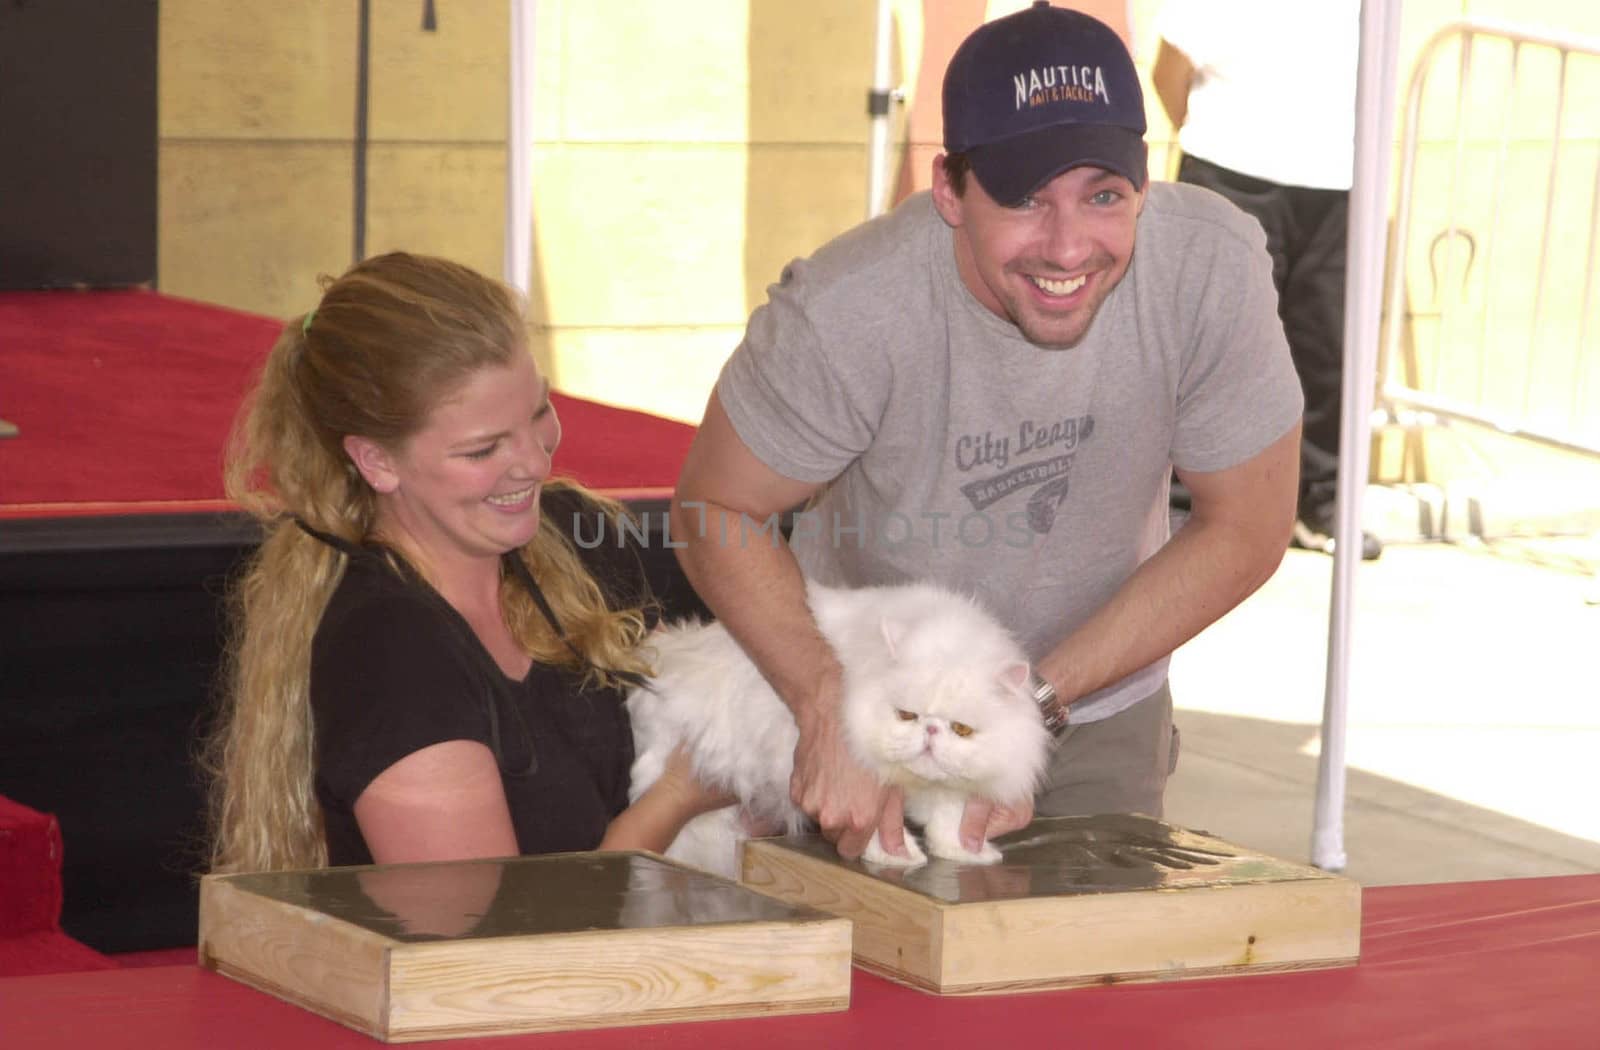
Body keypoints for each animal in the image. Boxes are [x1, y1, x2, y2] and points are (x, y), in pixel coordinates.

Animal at [620, 579, 1049, 883]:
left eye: (961, 729)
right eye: (906, 715)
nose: (930, 731)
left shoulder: (953, 789)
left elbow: (949, 817)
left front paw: (968, 851)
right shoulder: (859, 785)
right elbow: (878, 827)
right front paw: (898, 855)